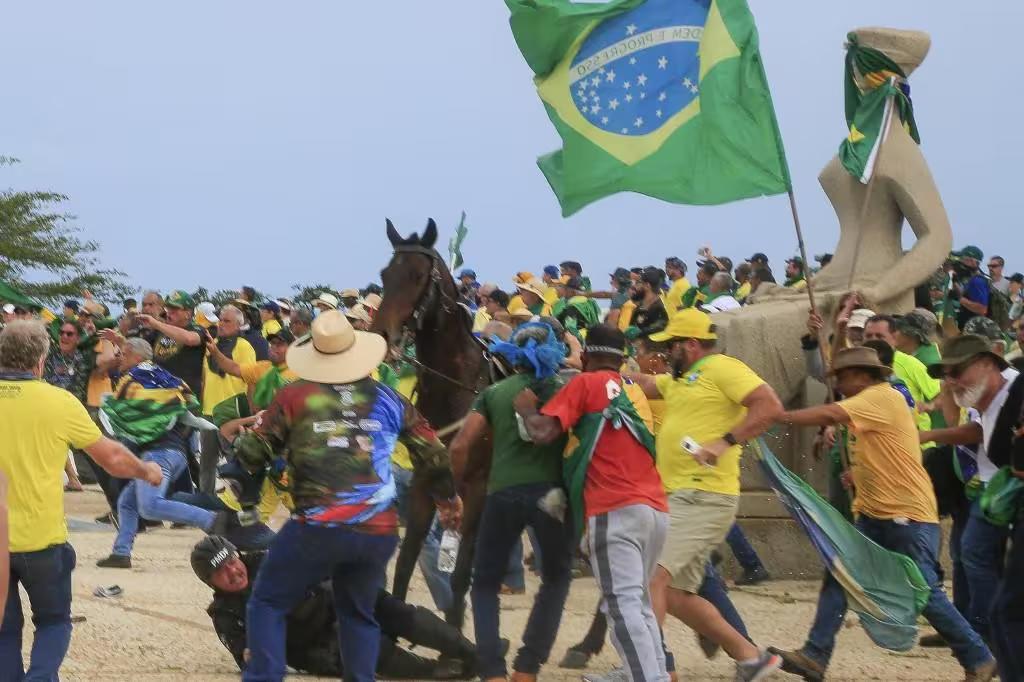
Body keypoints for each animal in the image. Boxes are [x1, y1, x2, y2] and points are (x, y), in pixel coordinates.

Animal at [370, 216, 493, 626]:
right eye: (385, 274)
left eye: (419, 275)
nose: (381, 334)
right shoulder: (426, 483)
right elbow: (405, 562)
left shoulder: (475, 490)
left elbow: (460, 573)